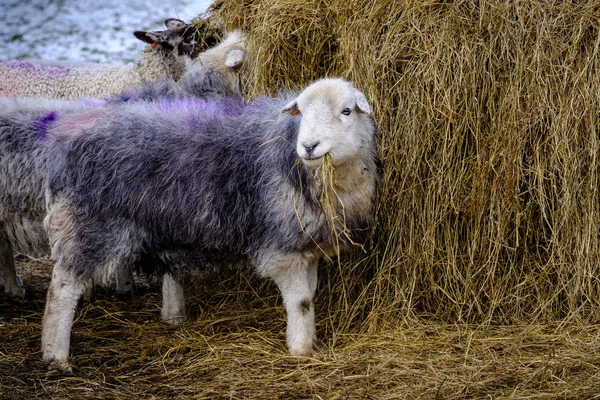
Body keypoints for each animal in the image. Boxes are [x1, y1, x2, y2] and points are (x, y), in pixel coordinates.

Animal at [39, 78, 378, 372]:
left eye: (346, 111)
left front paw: (310, 342)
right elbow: (302, 301)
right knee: (62, 288)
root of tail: (62, 139)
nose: (308, 146)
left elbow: (310, 295)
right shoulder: (283, 246)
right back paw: (55, 355)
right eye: (302, 112)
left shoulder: (307, 246)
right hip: (90, 226)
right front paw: (301, 349)